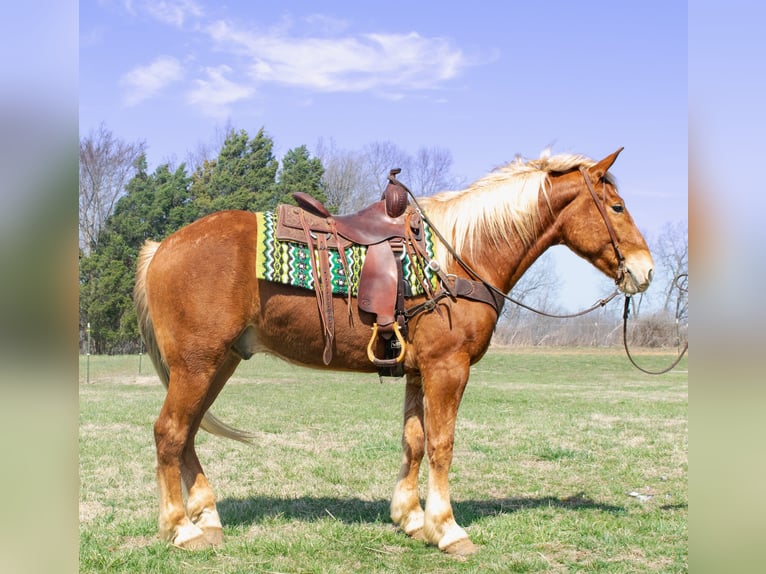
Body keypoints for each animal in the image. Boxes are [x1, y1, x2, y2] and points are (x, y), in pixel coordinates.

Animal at [133, 147, 653, 555]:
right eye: (617, 206)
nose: (644, 271)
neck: (458, 256)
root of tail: (163, 247)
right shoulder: (448, 369)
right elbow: (442, 444)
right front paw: (447, 528)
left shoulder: (419, 371)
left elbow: (414, 441)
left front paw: (412, 519)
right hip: (197, 364)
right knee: (169, 433)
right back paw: (181, 529)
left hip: (217, 364)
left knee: (187, 434)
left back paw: (207, 518)